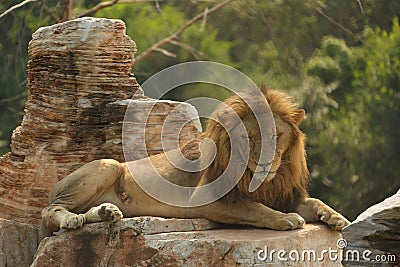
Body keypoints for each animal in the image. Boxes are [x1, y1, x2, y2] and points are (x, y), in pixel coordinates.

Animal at [39, 88, 348, 241]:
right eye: (248, 137)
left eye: (276, 135)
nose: (265, 163)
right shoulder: (207, 198)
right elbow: (254, 208)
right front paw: (286, 219)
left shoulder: (285, 195)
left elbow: (314, 201)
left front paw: (335, 217)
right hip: (109, 164)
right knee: (49, 211)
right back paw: (72, 218)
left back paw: (106, 213)